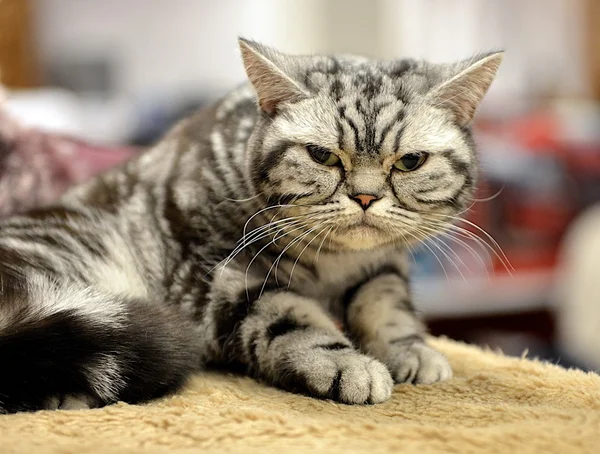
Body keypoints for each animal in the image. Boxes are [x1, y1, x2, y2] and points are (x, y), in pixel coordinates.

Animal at [0, 40, 504, 414]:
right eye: (321, 155)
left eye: (410, 161)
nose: (364, 197)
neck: (335, 262)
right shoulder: (225, 280)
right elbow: (295, 321)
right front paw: (348, 365)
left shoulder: (382, 266)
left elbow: (386, 306)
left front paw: (409, 350)